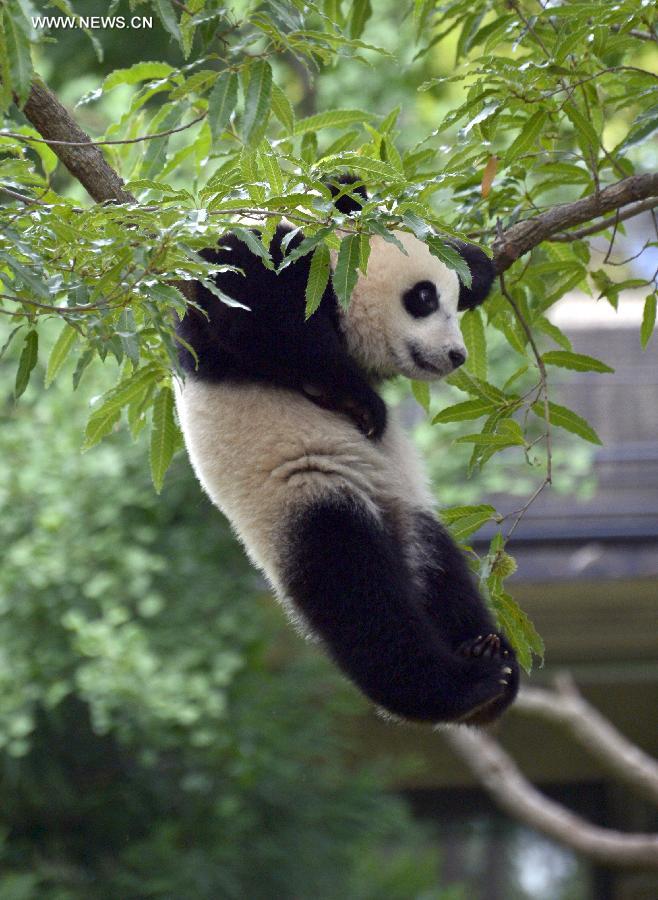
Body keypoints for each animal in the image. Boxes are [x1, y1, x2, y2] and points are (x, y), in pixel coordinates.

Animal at [174, 181, 516, 724]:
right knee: (357, 593)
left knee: (439, 571)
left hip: (405, 507)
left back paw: (485, 660)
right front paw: (357, 399)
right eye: (423, 298)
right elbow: (248, 315)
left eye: (454, 300)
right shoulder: (259, 268)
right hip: (306, 492)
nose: (456, 355)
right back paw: (460, 688)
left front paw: (476, 264)